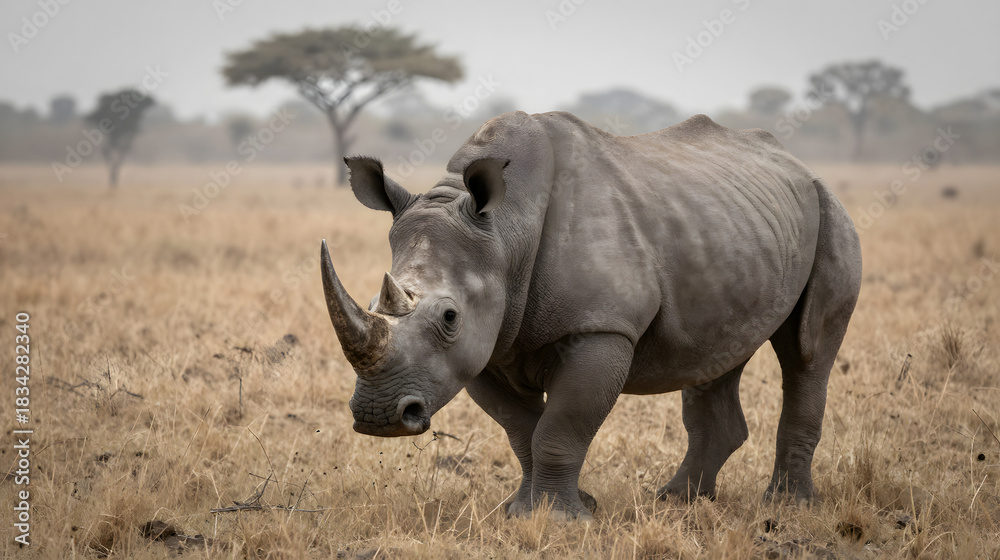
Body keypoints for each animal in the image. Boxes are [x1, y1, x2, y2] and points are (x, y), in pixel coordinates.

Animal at [320, 111, 861, 520]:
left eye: (449, 317)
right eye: (372, 305)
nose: (379, 418)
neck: (505, 232)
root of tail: (796, 162)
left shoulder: (601, 328)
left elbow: (560, 427)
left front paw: (560, 520)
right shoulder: (485, 346)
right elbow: (523, 430)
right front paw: (531, 511)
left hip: (831, 211)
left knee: (806, 353)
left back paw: (788, 508)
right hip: (732, 227)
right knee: (717, 354)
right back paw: (677, 503)